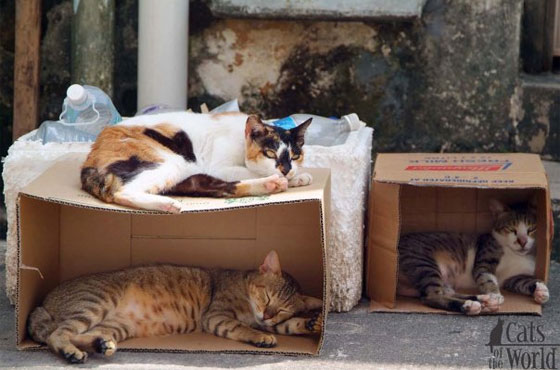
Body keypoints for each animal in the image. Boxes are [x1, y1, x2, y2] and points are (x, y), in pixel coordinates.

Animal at [27, 250, 324, 362]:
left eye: (282, 308)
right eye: (267, 297)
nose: (267, 313)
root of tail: (43, 303)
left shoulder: (274, 321)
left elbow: (290, 325)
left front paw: (313, 321)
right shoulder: (216, 316)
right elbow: (243, 327)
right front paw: (260, 336)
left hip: (115, 325)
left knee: (78, 334)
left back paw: (100, 344)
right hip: (95, 304)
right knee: (57, 335)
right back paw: (71, 353)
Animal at [80, 111, 312, 212]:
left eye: (295, 156)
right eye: (270, 153)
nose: (286, 169)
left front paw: (299, 176)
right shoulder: (220, 166)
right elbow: (251, 170)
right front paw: (289, 177)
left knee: (217, 187)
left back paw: (272, 184)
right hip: (170, 162)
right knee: (121, 192)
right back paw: (168, 205)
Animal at [398, 199, 552, 316]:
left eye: (531, 229)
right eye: (511, 229)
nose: (523, 242)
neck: (514, 253)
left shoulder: (513, 278)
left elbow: (523, 282)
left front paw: (540, 290)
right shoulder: (484, 262)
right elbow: (487, 278)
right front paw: (495, 294)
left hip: (441, 280)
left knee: (445, 292)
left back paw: (483, 301)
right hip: (423, 263)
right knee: (431, 296)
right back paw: (472, 304)